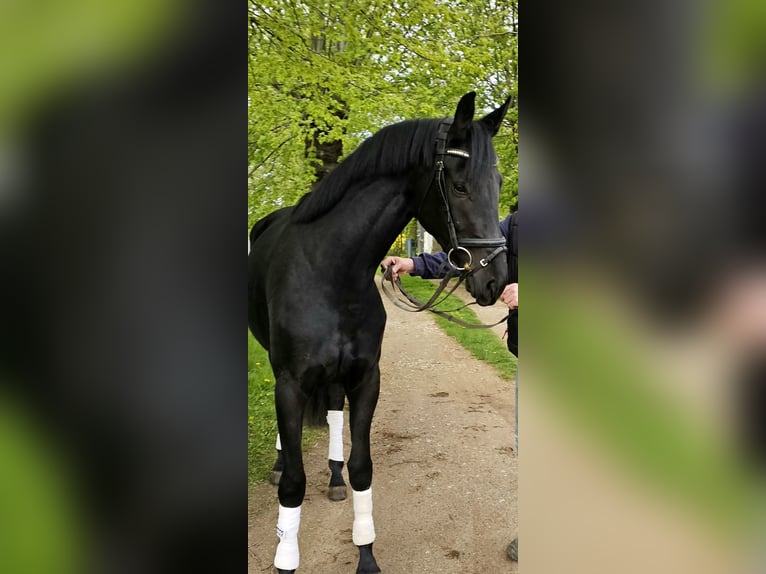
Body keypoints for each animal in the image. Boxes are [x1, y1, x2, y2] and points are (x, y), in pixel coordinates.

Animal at [249, 92, 510, 572]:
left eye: (499, 183)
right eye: (460, 186)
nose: (495, 281)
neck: (331, 271)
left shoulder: (366, 378)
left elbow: (362, 467)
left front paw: (366, 554)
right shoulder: (290, 384)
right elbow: (293, 483)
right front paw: (285, 558)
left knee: (334, 415)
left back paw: (333, 476)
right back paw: (278, 463)